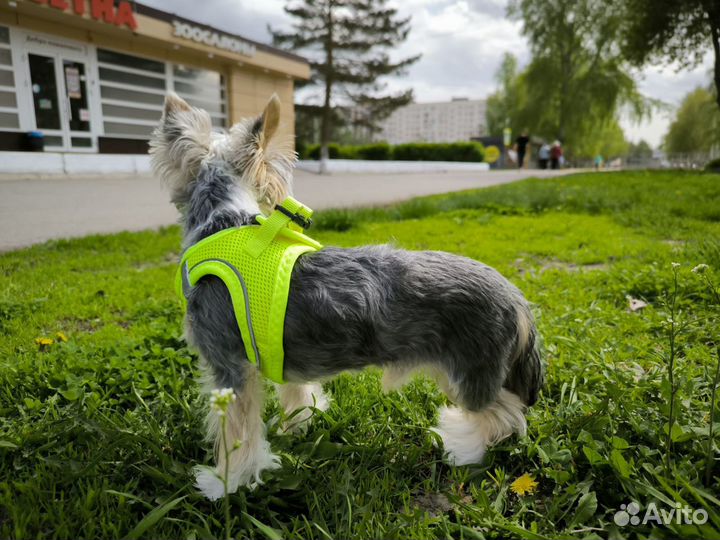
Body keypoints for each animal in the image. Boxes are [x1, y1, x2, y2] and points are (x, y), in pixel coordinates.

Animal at [149, 94, 544, 502]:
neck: (223, 224)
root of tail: (518, 300)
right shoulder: (281, 354)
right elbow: (297, 392)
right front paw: (299, 423)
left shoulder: (229, 367)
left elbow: (237, 435)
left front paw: (225, 482)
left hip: (469, 368)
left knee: (505, 414)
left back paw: (461, 444)